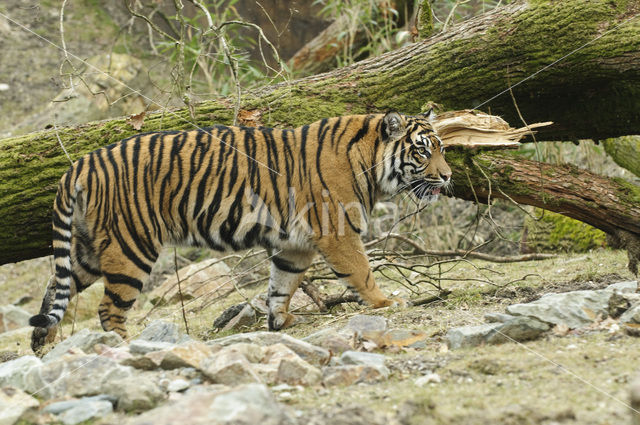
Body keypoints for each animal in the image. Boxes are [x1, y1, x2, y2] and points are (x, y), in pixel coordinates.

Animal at [28, 110, 450, 352]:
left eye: (442, 148)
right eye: (422, 151)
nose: (447, 177)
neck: (369, 163)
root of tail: (81, 163)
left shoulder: (293, 245)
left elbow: (282, 284)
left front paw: (280, 321)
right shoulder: (338, 230)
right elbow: (361, 271)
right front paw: (386, 303)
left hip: (89, 248)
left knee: (54, 289)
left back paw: (41, 342)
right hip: (131, 246)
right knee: (108, 307)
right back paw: (122, 346)